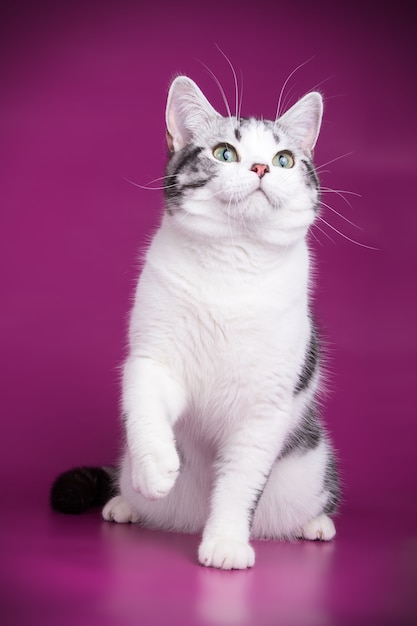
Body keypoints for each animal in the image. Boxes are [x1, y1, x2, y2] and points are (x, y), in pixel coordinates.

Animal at [51, 75, 338, 568]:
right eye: (225, 152)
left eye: (284, 159)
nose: (261, 167)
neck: (231, 266)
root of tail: (183, 521)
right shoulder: (152, 356)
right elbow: (145, 400)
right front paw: (155, 465)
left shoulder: (266, 405)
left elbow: (241, 481)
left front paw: (225, 544)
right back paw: (126, 502)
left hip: (312, 464)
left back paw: (315, 523)